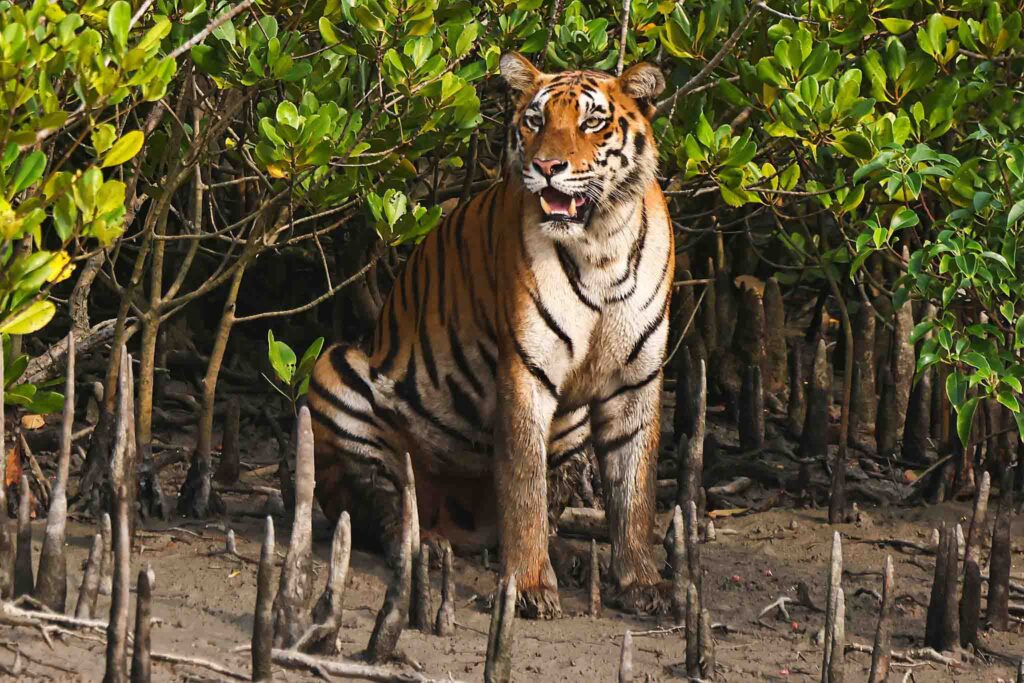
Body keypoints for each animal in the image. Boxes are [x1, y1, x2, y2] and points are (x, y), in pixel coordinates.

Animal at [308, 52, 673, 618]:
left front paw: (641, 584)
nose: (548, 167)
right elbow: (523, 484)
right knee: (381, 506)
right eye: (535, 121)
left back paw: (566, 555)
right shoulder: (526, 370)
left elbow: (633, 490)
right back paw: (426, 548)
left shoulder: (636, 380)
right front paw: (529, 588)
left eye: (592, 122)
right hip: (336, 369)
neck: (600, 244)